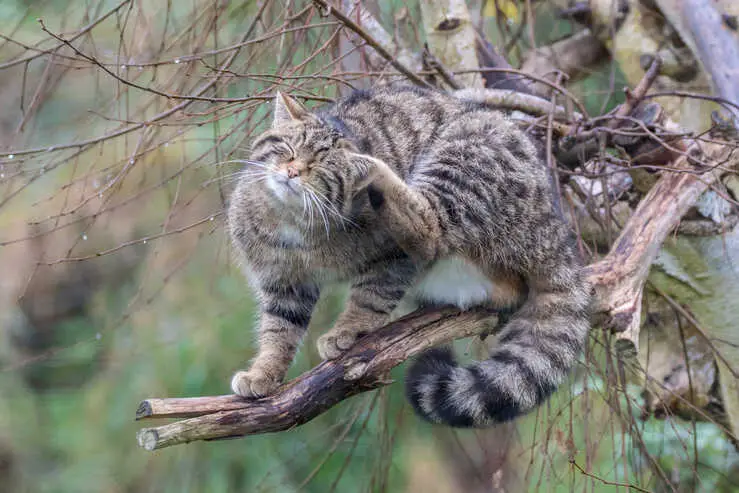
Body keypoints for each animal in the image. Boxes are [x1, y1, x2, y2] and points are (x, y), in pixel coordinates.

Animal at [228, 84, 592, 426]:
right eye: (289, 150)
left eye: (321, 167)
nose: (292, 173)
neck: (291, 219)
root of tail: (555, 224)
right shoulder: (284, 282)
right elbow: (279, 329)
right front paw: (264, 373)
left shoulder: (392, 260)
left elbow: (369, 298)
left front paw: (347, 330)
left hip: (466, 156)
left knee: (430, 230)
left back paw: (373, 168)